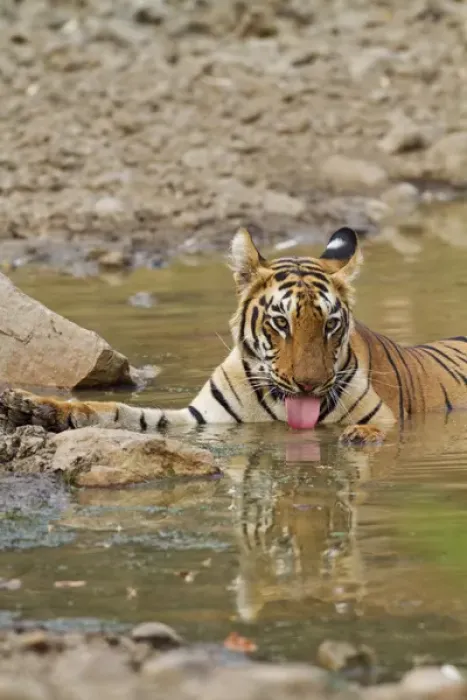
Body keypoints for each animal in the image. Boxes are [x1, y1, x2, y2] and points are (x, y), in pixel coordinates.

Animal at [1, 225, 467, 445]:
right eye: (281, 322)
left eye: (331, 325)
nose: (309, 385)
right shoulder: (201, 419)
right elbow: (121, 413)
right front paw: (37, 408)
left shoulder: (390, 419)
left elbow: (381, 430)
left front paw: (359, 436)